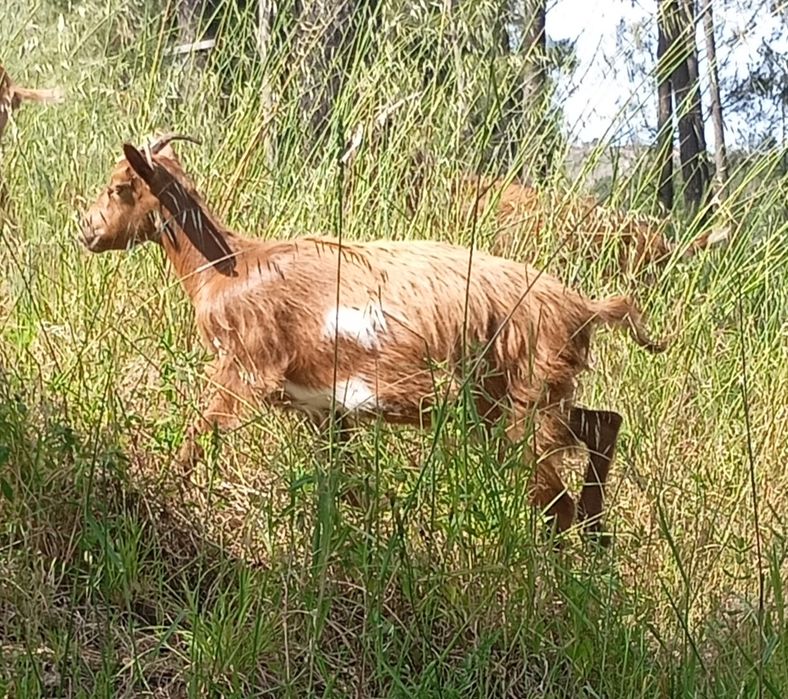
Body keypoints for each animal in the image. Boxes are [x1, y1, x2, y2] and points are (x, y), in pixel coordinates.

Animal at [80, 135, 666, 538]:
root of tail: (584, 308)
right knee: (602, 425)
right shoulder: (322, 405)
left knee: (555, 497)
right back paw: (596, 535)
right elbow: (346, 481)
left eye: (120, 187)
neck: (231, 267)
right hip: (526, 399)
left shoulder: (244, 369)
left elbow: (198, 438)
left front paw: (156, 494)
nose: (85, 229)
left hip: (524, 408)